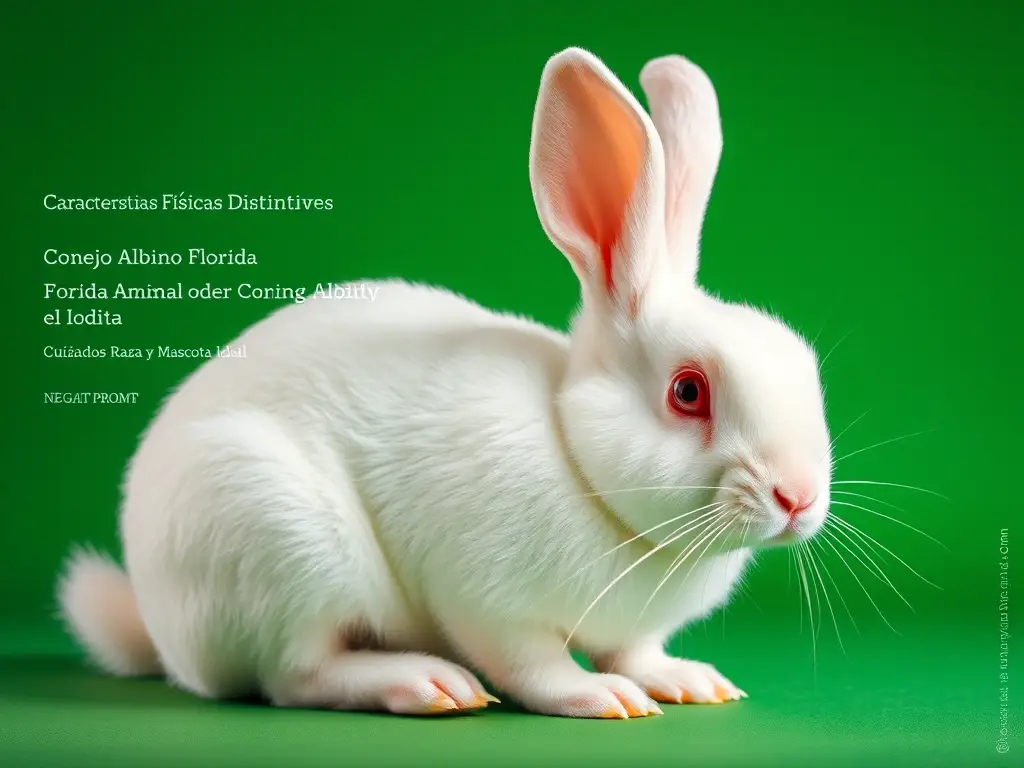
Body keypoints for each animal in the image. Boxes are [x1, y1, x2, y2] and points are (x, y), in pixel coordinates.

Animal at [57, 46, 831, 719]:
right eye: (688, 391)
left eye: (805, 366)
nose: (798, 498)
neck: (575, 457)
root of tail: (162, 632)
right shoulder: (488, 602)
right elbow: (535, 666)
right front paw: (602, 698)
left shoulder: (629, 631)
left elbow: (637, 652)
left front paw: (690, 682)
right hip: (277, 543)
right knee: (295, 675)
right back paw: (426, 683)